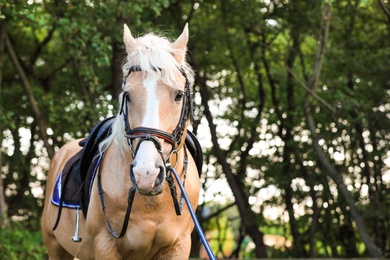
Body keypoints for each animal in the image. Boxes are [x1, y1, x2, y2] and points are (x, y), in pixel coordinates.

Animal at [40, 23, 200, 258]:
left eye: (179, 95)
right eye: (128, 95)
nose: (146, 174)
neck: (152, 201)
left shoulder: (179, 246)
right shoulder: (105, 245)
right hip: (56, 248)